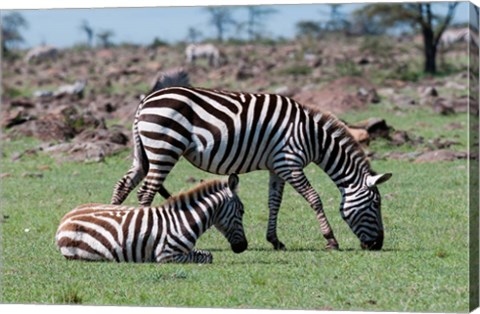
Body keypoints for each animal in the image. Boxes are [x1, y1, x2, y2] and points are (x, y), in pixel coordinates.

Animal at [56, 174, 248, 262]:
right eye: (242, 211)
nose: (243, 247)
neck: (184, 220)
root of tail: (66, 217)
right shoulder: (167, 255)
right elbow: (205, 257)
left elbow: (206, 254)